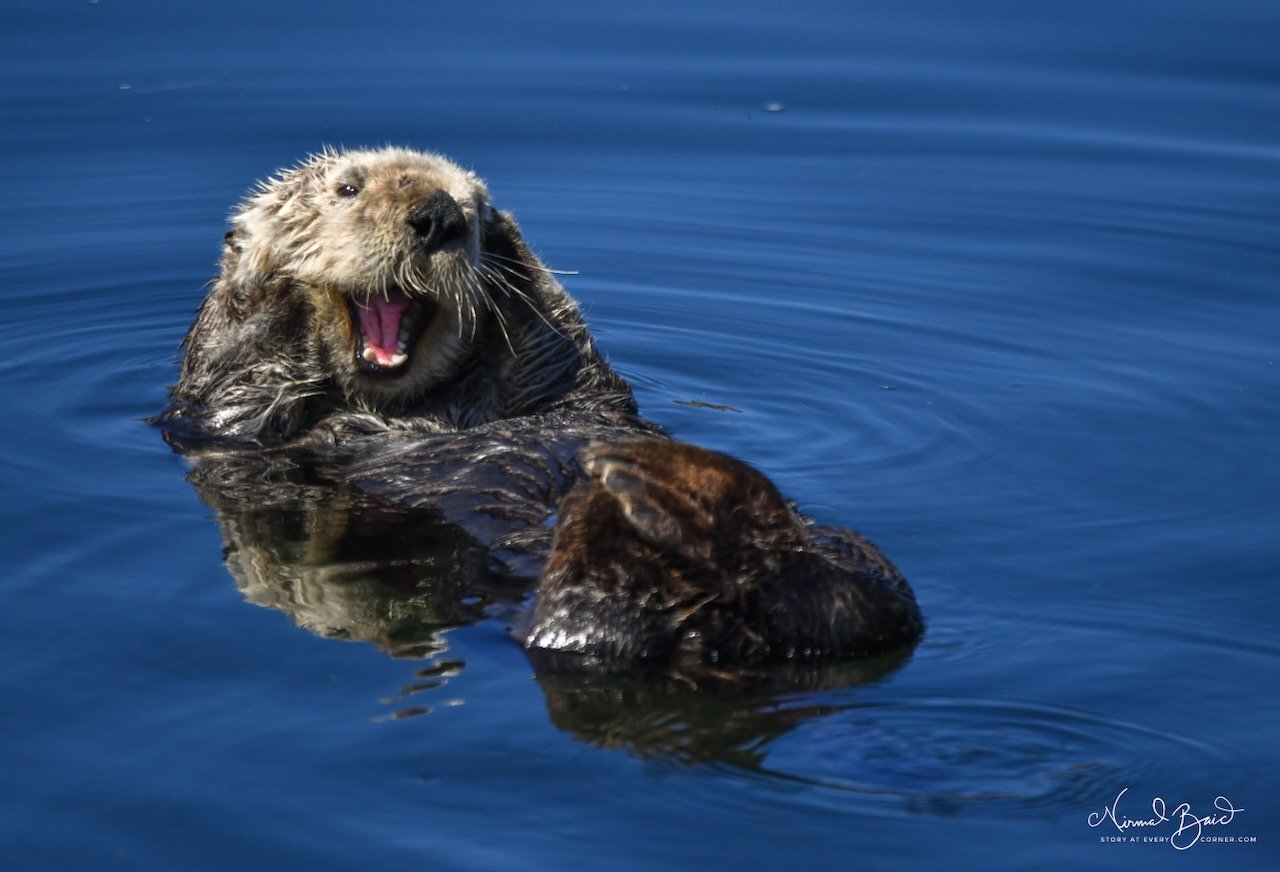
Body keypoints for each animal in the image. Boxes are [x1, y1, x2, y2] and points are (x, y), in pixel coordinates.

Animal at [155, 147, 923, 682]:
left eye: (468, 203)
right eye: (347, 188)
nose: (440, 215)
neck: (422, 406)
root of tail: (730, 624)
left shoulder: (560, 384)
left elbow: (559, 345)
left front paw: (507, 241)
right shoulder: (222, 427)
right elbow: (235, 387)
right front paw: (265, 272)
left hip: (856, 563)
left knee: (862, 603)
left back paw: (672, 489)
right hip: (597, 623)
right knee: (596, 623)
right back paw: (649, 500)